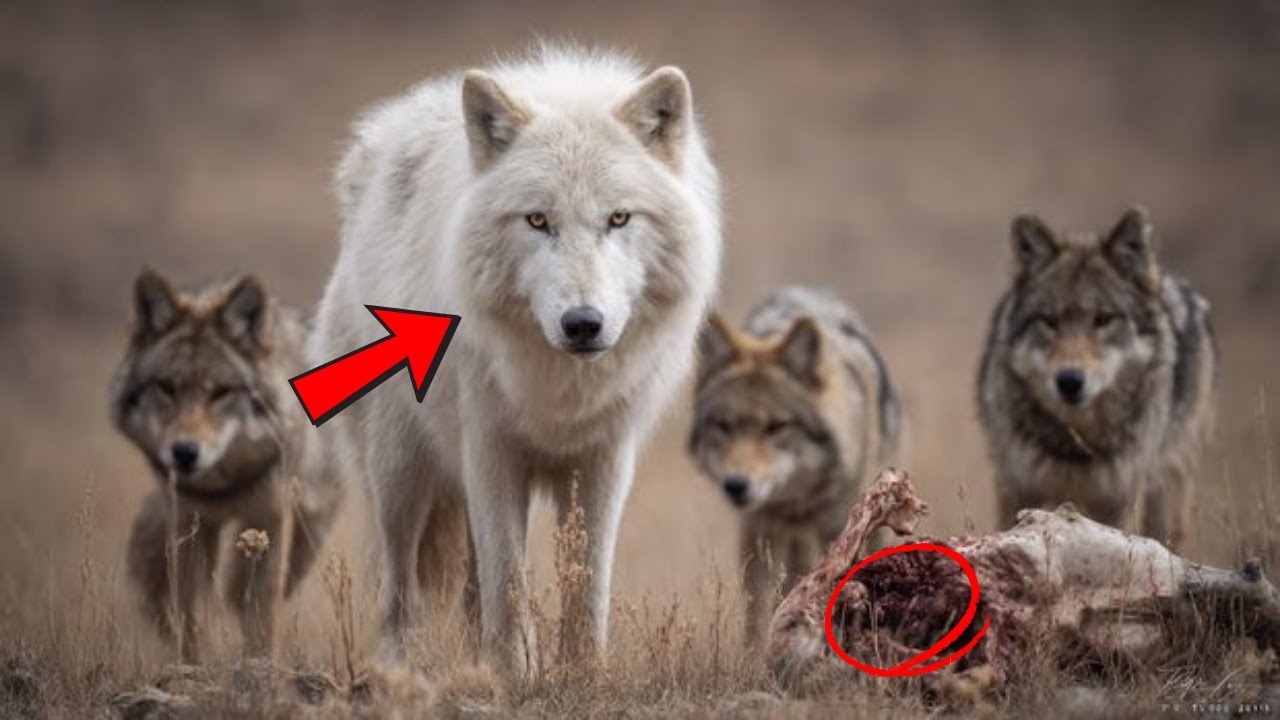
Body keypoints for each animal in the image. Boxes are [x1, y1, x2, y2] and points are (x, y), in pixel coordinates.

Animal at [111, 270, 344, 661]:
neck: (223, 488)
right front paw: (193, 665)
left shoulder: (272, 519)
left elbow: (260, 609)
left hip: (306, 537)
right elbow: (191, 613)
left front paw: (260, 663)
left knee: (245, 592)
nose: (184, 451)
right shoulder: (187, 521)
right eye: (166, 388)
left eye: (221, 392)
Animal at [309, 46, 721, 676]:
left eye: (618, 219)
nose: (583, 323)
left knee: (467, 586)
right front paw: (515, 675)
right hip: (401, 472)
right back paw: (398, 668)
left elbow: (587, 581)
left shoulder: (605, 456)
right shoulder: (490, 448)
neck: (561, 389)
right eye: (537, 220)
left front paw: (580, 674)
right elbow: (508, 579)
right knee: (399, 587)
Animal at [688, 286, 903, 649]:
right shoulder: (759, 528)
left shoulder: (840, 529)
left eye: (776, 426)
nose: (736, 485)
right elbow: (758, 608)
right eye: (724, 426)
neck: (797, 501)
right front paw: (756, 656)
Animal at [977, 207, 1215, 549]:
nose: (1069, 380)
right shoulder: (1017, 486)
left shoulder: (1117, 500)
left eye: (1104, 319)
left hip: (1167, 483)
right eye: (1049, 321)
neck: (1077, 445)